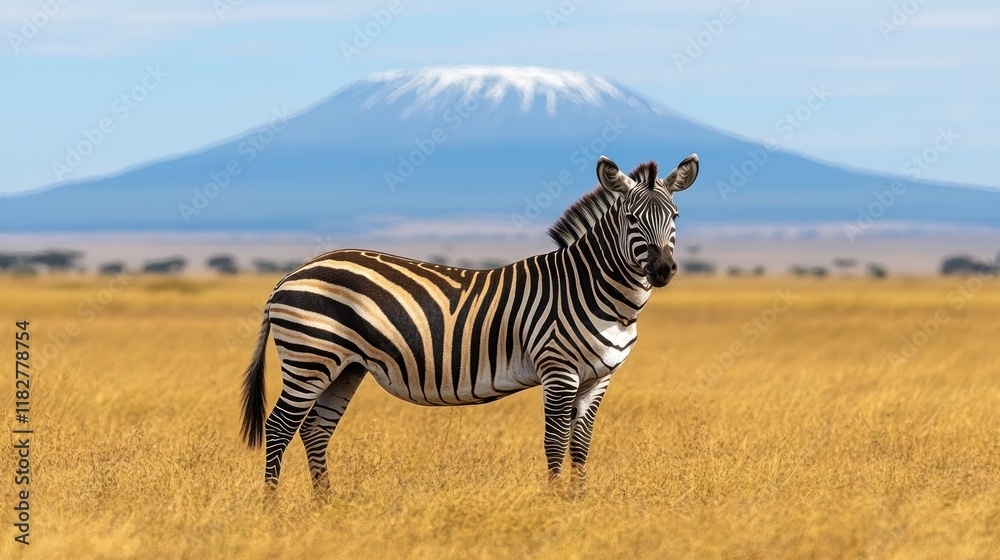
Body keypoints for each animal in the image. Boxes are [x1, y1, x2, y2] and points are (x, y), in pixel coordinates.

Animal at [240, 153, 699, 489]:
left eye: (676, 217)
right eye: (631, 219)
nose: (663, 270)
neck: (595, 292)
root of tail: (292, 273)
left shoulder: (599, 377)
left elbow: (580, 446)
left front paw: (580, 501)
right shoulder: (559, 369)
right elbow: (554, 442)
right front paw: (557, 505)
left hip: (345, 367)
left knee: (315, 430)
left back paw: (326, 506)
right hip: (310, 356)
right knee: (279, 427)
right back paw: (272, 509)